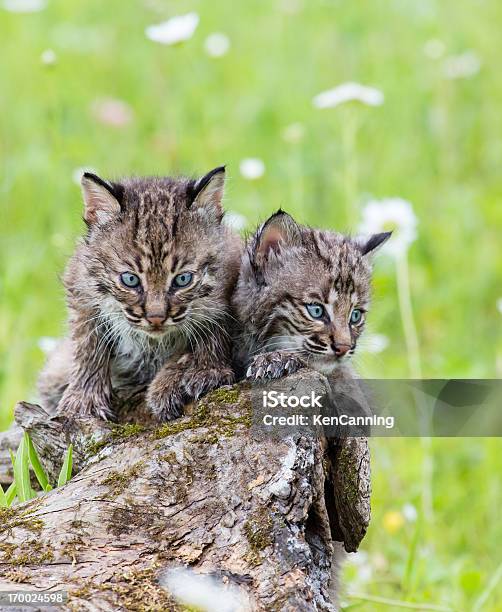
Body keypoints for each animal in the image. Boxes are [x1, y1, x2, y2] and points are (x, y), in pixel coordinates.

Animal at [38, 166, 242, 420]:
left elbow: (210, 332)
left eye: (183, 279)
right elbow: (88, 343)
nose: (155, 318)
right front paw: (84, 399)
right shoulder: (80, 289)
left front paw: (200, 372)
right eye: (130, 279)